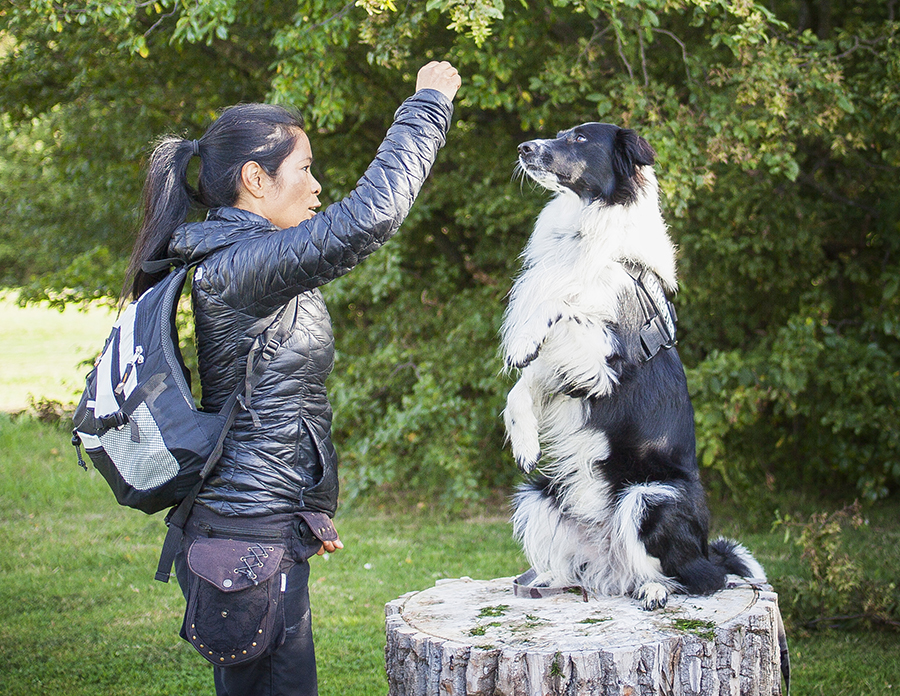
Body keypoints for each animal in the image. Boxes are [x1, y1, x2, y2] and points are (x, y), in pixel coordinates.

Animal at [500, 122, 768, 612]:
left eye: (580, 139)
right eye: (561, 132)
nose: (524, 147)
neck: (586, 232)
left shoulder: (603, 359)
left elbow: (563, 305)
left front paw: (526, 337)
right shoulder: (565, 373)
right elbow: (521, 387)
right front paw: (525, 440)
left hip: (647, 498)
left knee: (699, 578)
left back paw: (656, 590)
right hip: (540, 495)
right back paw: (553, 579)